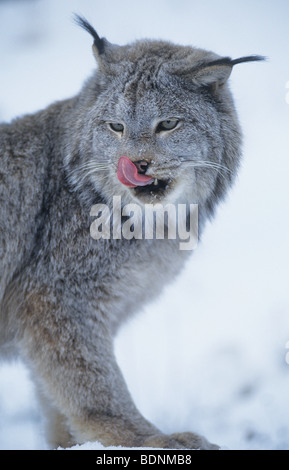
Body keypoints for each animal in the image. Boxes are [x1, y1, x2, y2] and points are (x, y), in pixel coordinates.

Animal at [0, 14, 264, 448]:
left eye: (168, 124)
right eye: (116, 127)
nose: (136, 165)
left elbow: (57, 396)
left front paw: (67, 443)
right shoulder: (55, 298)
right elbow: (92, 382)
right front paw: (146, 439)